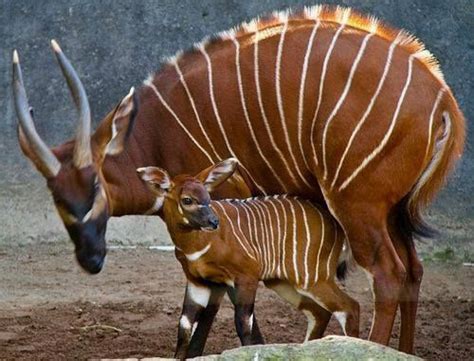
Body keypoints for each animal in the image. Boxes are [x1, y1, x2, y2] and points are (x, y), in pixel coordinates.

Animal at [137, 158, 360, 358]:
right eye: (187, 200)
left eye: (207, 196)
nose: (213, 221)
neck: (198, 246)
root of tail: (337, 224)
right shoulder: (197, 281)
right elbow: (184, 325)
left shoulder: (247, 276)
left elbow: (243, 323)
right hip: (282, 281)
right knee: (320, 312)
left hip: (312, 277)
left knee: (350, 307)